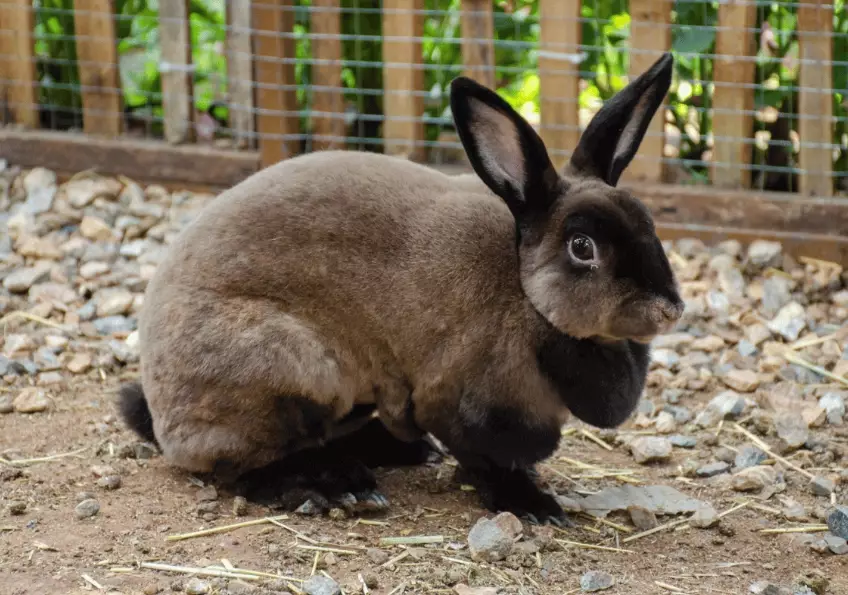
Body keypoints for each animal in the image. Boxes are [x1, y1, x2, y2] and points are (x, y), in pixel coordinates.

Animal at [118, 51, 683, 525]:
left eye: (648, 223)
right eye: (583, 247)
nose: (670, 309)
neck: (527, 295)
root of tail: (164, 412)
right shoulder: (462, 404)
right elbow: (491, 463)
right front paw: (534, 507)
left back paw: (403, 453)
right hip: (289, 365)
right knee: (243, 464)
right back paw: (337, 486)